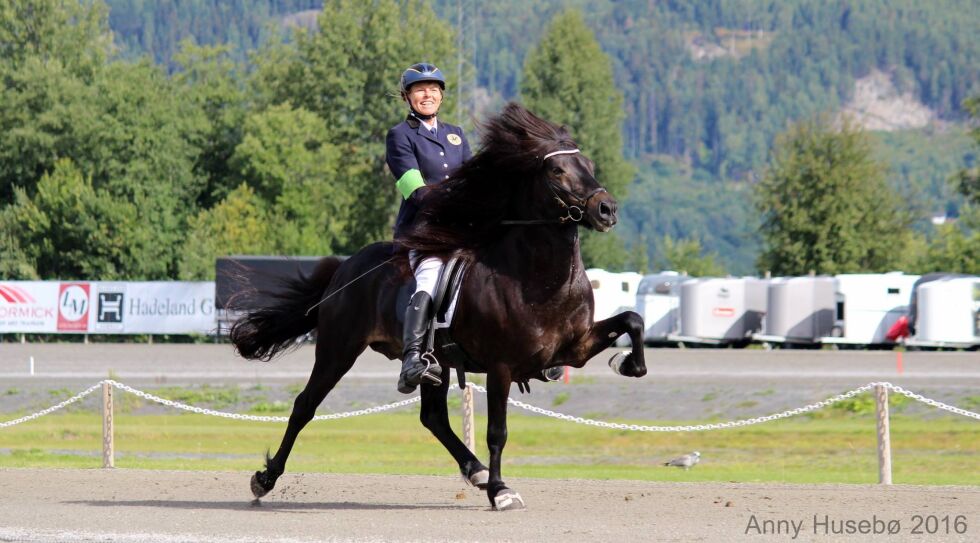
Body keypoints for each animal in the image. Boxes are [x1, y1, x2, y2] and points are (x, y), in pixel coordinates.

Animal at [232, 102, 652, 510]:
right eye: (557, 170)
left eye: (590, 166)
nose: (607, 209)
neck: (539, 280)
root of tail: (347, 266)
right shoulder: (501, 366)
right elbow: (497, 431)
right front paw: (500, 491)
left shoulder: (574, 348)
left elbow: (632, 319)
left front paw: (628, 363)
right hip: (338, 349)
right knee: (305, 406)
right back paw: (265, 479)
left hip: (438, 364)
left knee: (432, 417)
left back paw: (474, 470)